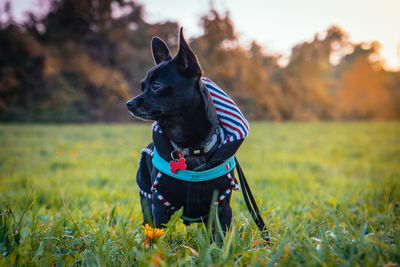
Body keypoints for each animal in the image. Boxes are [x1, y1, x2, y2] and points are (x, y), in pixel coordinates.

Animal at [126, 27, 248, 232]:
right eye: (142, 87)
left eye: (156, 86)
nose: (129, 103)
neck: (192, 147)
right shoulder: (159, 206)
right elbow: (160, 237)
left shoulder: (221, 208)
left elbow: (220, 237)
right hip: (146, 199)